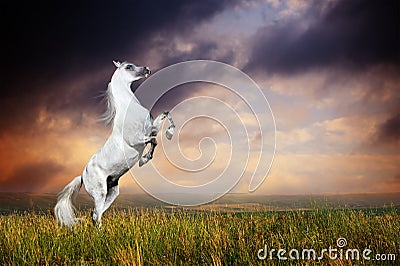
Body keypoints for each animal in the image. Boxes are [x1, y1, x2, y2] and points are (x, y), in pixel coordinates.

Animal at [54, 61, 175, 228]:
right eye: (128, 67)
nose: (147, 69)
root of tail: (83, 176)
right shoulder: (137, 139)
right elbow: (154, 141)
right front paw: (144, 160)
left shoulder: (152, 129)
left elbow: (166, 114)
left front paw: (170, 133)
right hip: (100, 193)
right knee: (96, 215)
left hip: (112, 193)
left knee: (96, 214)